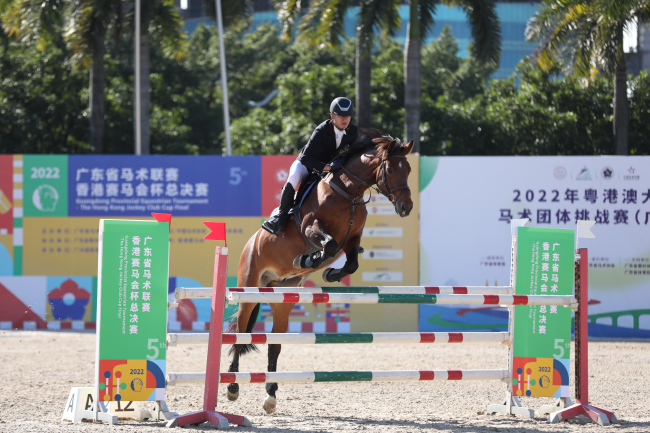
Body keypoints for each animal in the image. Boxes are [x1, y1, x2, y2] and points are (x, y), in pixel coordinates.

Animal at [228, 131, 412, 412]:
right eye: (390, 169)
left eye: (409, 170)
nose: (406, 207)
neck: (348, 192)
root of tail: (251, 243)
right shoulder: (312, 226)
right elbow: (328, 246)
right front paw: (307, 259)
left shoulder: (353, 237)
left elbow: (350, 262)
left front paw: (329, 273)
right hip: (247, 291)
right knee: (240, 334)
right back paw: (232, 387)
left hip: (283, 300)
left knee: (275, 345)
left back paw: (270, 395)